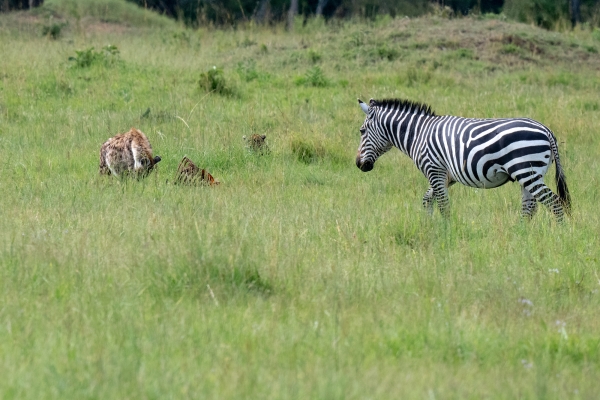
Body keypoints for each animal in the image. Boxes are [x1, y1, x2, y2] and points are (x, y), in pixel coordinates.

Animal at [356, 98, 572, 220]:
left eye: (362, 131)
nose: (358, 164)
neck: (419, 133)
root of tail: (546, 130)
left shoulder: (434, 169)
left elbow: (443, 205)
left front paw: (446, 232)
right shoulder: (446, 176)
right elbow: (427, 200)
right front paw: (428, 226)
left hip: (527, 171)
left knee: (555, 203)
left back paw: (559, 236)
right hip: (527, 175)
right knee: (530, 207)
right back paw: (520, 236)